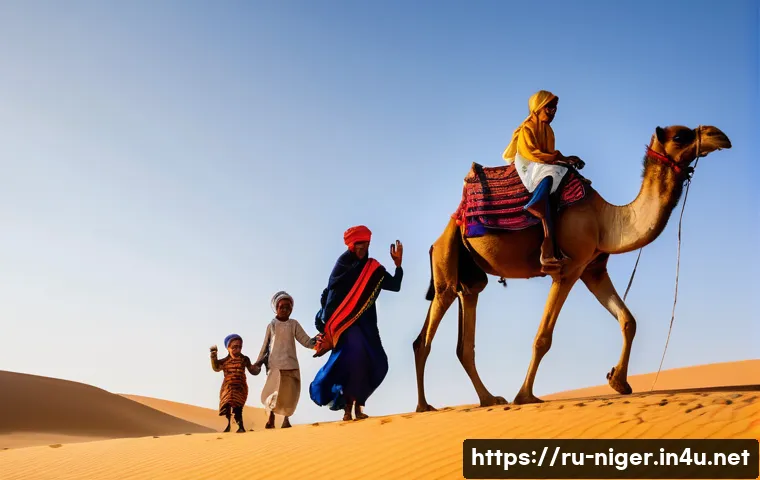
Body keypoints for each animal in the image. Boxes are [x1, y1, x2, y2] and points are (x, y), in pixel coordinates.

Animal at [413, 124, 731, 411]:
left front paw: (618, 382)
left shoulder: (593, 270)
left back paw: (489, 399)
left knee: (464, 340)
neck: (605, 220)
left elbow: (628, 320)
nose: (720, 136)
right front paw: (525, 396)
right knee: (425, 337)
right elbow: (543, 338)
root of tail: (440, 236)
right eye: (680, 136)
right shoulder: (568, 269)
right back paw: (424, 406)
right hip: (446, 265)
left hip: (470, 279)